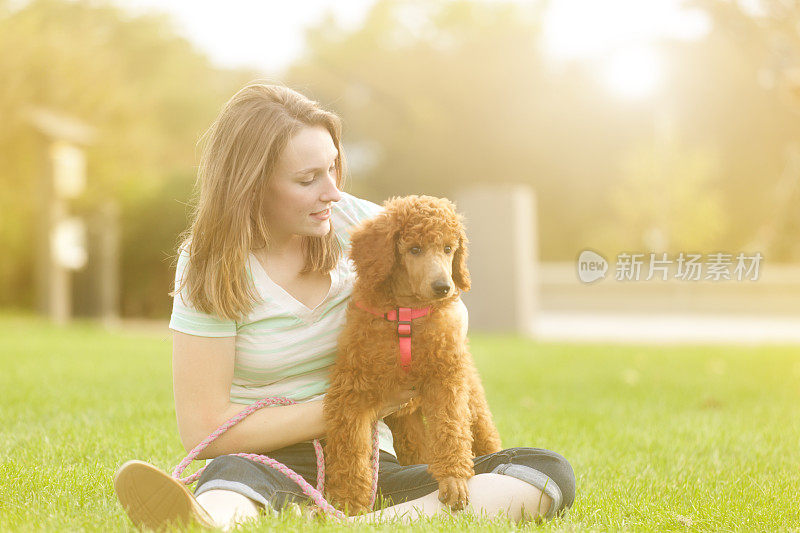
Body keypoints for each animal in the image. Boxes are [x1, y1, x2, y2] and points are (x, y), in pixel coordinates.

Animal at [324, 195, 500, 516]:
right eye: (414, 249)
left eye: (448, 249)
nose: (444, 287)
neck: (405, 314)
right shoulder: (352, 391)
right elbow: (350, 451)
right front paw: (348, 504)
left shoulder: (445, 379)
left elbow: (450, 428)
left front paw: (453, 478)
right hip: (406, 422)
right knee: (416, 448)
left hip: (469, 390)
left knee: (482, 431)